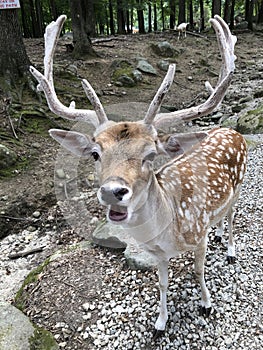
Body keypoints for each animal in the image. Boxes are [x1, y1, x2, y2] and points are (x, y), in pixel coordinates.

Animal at [30, 14, 248, 340]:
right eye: (95, 153)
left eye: (150, 155)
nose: (113, 191)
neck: (171, 230)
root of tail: (233, 130)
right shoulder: (157, 253)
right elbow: (162, 283)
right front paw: (160, 323)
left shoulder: (198, 237)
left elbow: (198, 271)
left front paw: (206, 305)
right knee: (221, 219)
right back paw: (219, 234)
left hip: (239, 186)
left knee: (232, 216)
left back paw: (231, 249)